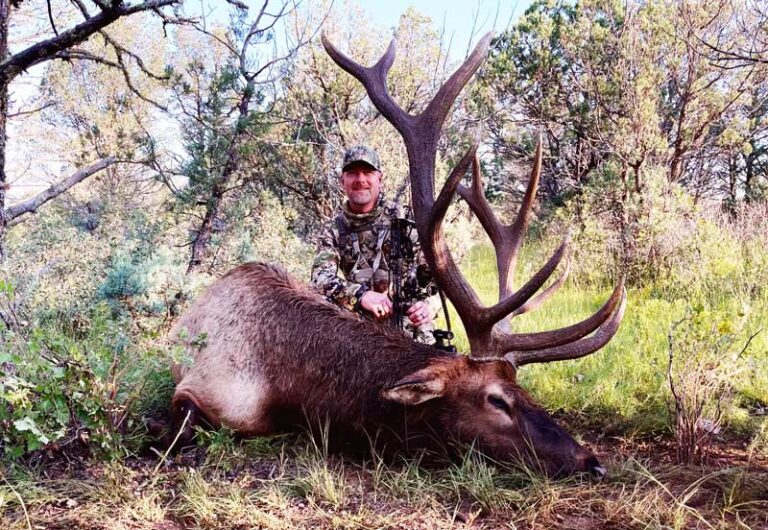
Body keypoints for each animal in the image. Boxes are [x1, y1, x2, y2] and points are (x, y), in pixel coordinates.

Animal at [162, 32, 626, 477]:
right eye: (496, 400)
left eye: (524, 390)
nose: (593, 462)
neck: (291, 394)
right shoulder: (196, 388)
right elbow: (179, 430)